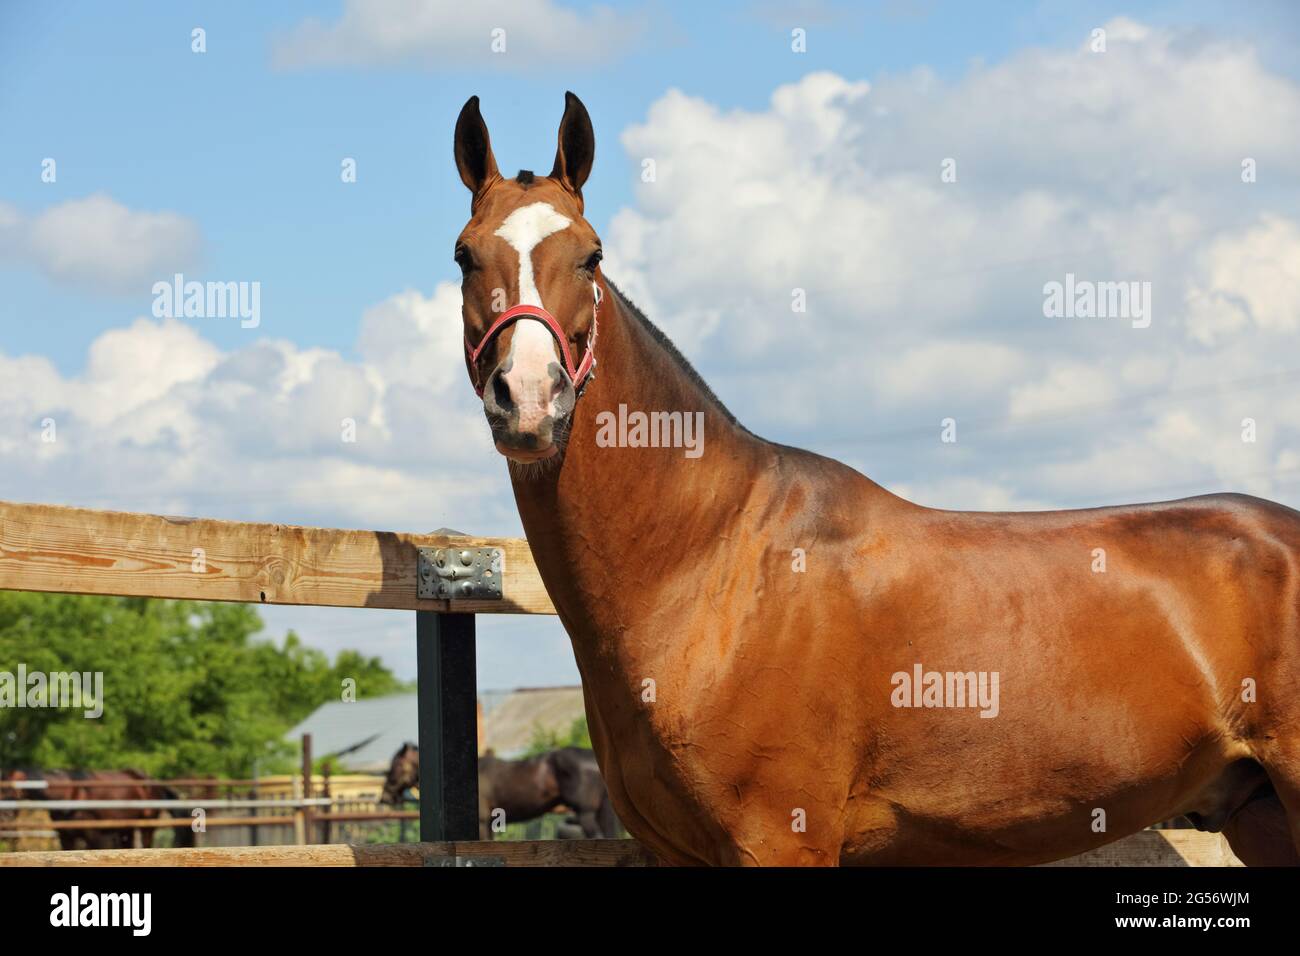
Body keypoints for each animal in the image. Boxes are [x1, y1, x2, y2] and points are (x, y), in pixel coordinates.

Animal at [0, 770, 192, 853]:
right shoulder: (66, 837)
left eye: (8, 789)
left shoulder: (94, 834)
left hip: (147, 826)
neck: (71, 794)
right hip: (126, 828)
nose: (5, 819)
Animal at [449, 91, 1300, 868]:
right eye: (464, 255)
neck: (713, 569)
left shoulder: (780, 839)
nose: (529, 399)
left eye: (591, 255)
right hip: (1258, 813)